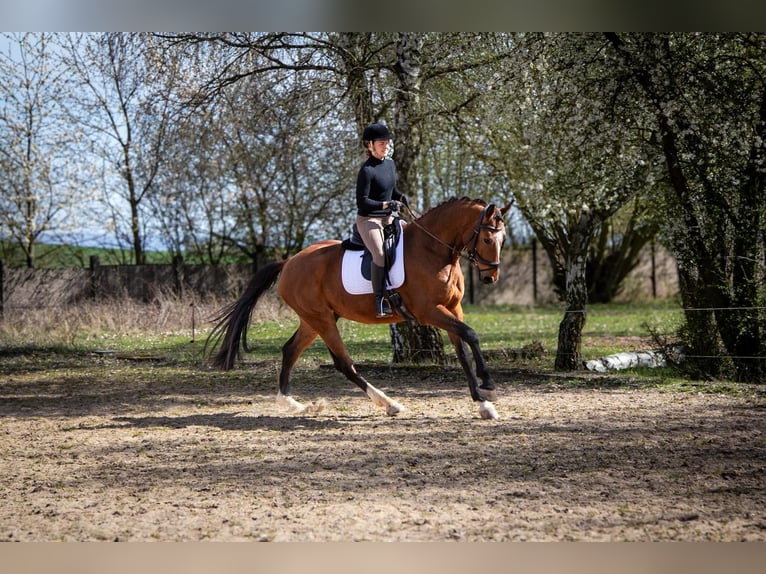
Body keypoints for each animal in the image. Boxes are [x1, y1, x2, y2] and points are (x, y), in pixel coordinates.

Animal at [206, 197, 512, 420]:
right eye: (487, 239)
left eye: (503, 239)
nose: (490, 277)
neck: (434, 252)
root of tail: (290, 261)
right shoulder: (430, 311)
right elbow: (471, 335)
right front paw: (489, 386)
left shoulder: (453, 309)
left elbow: (463, 352)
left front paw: (483, 404)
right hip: (322, 320)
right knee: (344, 364)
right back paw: (389, 403)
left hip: (314, 320)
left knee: (290, 350)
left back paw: (292, 403)